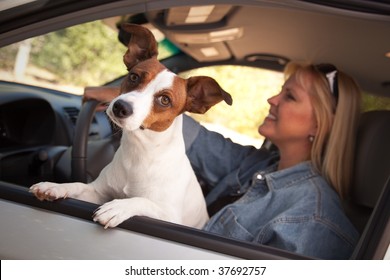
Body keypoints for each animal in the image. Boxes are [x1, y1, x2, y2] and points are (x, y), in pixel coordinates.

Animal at [30, 23, 233, 230]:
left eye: (165, 100)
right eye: (134, 77)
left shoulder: (170, 218)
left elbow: (142, 201)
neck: (140, 152)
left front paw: (118, 207)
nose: (120, 107)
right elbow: (78, 185)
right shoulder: (96, 193)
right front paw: (55, 186)